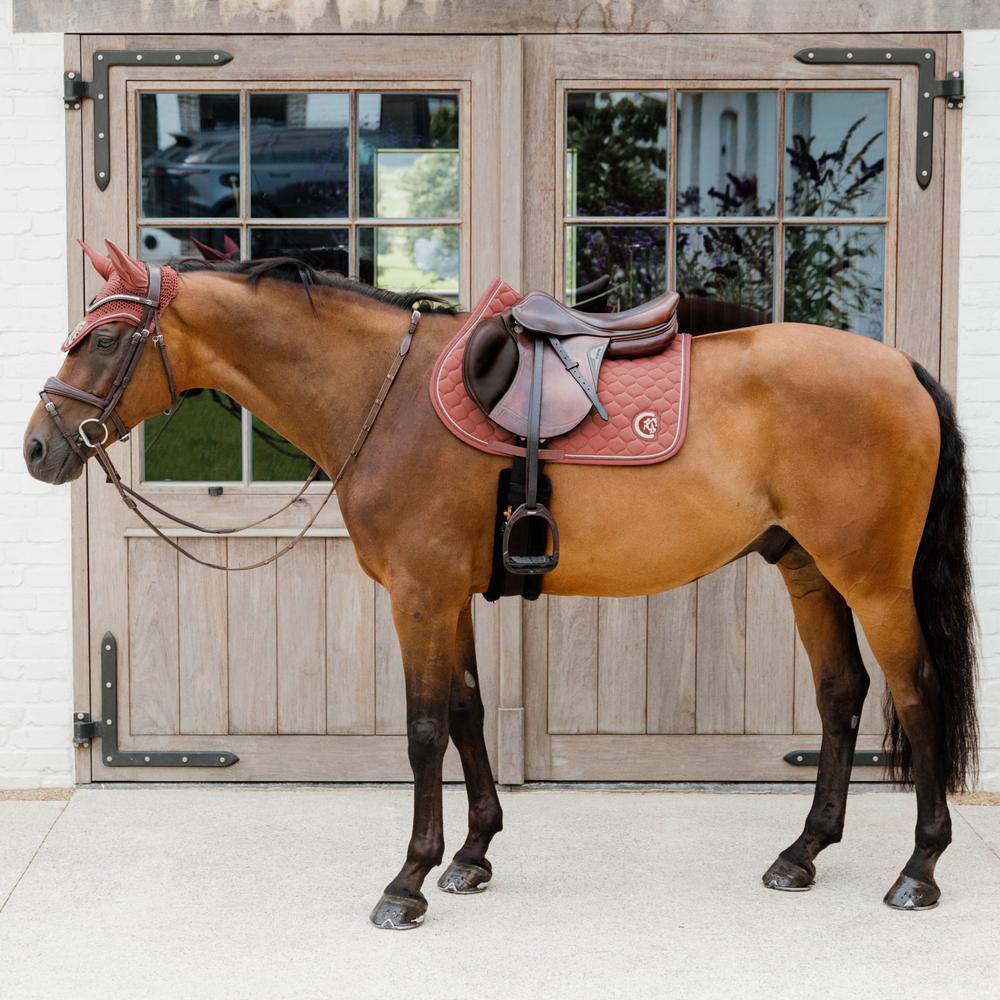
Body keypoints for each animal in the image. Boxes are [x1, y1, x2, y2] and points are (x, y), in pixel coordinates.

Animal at [23, 240, 977, 928]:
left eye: (103, 337)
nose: (37, 446)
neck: (386, 397)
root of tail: (903, 368)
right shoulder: (446, 596)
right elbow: (466, 711)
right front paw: (472, 855)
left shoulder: (417, 594)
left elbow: (421, 732)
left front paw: (407, 879)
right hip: (808, 569)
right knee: (841, 693)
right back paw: (804, 851)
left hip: (874, 580)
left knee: (917, 692)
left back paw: (921, 868)